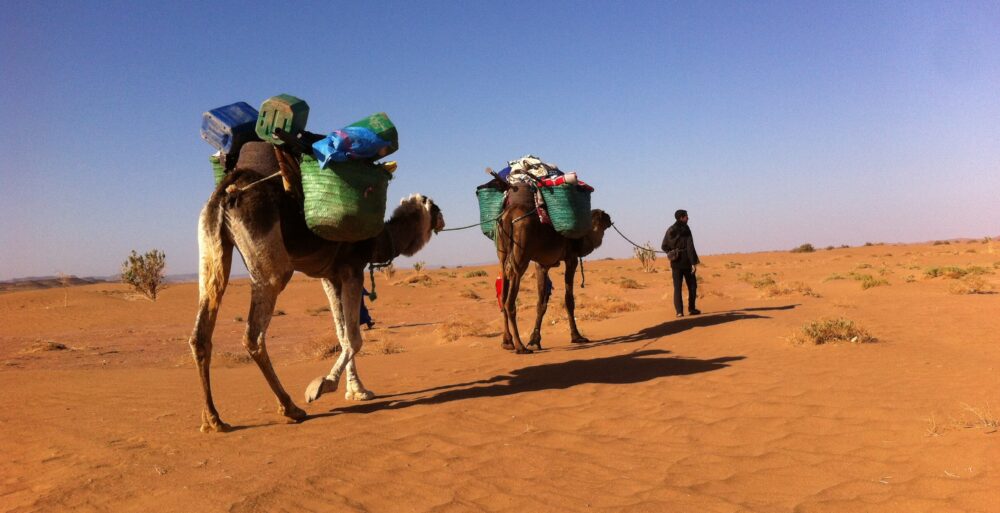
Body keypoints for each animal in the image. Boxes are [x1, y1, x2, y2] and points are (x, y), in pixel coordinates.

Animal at [188, 145, 446, 432]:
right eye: (434, 207)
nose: (443, 219)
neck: (380, 240)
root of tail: (228, 190)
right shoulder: (352, 268)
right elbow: (354, 338)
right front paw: (322, 386)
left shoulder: (330, 276)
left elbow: (342, 334)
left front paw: (357, 390)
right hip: (270, 258)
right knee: (254, 333)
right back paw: (290, 408)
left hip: (211, 243)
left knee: (202, 327)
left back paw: (213, 419)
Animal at [496, 182, 612, 354]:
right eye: (603, 215)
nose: (610, 218)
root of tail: (509, 215)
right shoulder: (571, 258)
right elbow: (569, 300)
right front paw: (577, 337)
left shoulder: (542, 265)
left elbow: (541, 303)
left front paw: (535, 340)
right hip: (521, 255)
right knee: (509, 302)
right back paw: (520, 346)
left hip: (502, 253)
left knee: (503, 296)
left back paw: (507, 341)